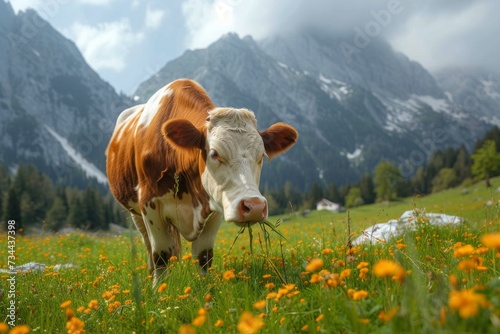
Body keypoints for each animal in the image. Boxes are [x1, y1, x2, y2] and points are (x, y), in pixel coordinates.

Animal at [106, 79, 296, 284]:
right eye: (214, 153)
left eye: (261, 156)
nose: (254, 206)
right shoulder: (149, 204)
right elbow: (161, 255)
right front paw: (158, 288)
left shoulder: (217, 205)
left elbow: (204, 256)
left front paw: (206, 288)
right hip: (135, 212)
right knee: (149, 246)